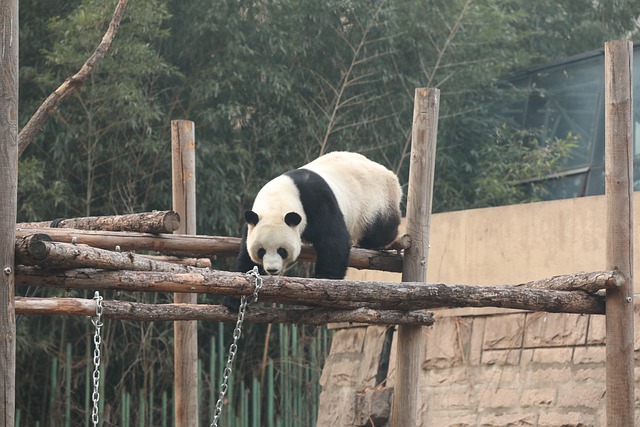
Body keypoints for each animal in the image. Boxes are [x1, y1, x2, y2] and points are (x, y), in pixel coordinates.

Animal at [232, 150, 402, 284]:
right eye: (261, 250)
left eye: (282, 250)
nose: (272, 269)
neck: (278, 200)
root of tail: (391, 176)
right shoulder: (253, 221)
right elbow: (246, 255)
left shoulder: (317, 200)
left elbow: (333, 239)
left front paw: (325, 276)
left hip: (375, 203)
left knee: (381, 230)